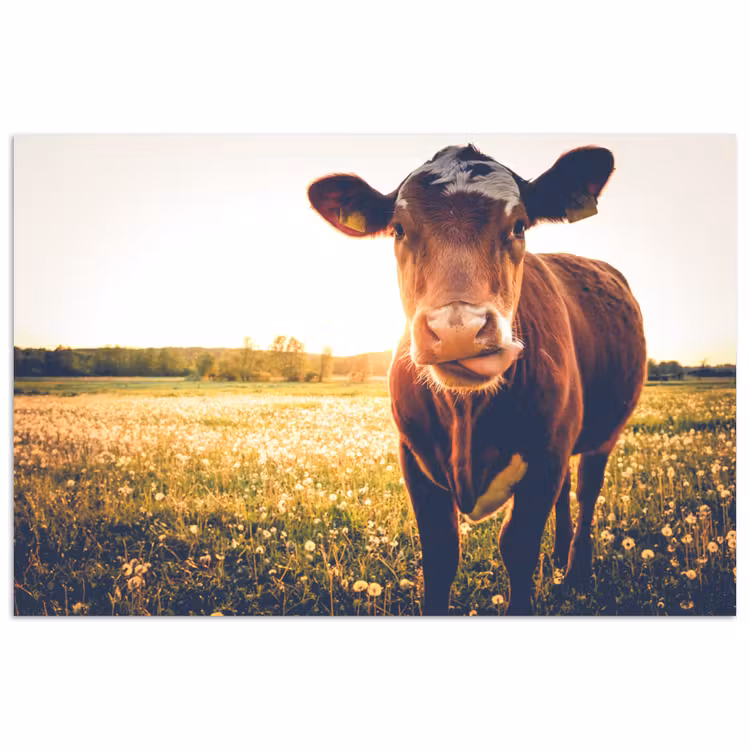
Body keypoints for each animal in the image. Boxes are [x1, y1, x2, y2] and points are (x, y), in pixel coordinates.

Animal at [308, 144, 647, 615]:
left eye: (519, 225)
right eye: (398, 229)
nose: (458, 329)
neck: (467, 415)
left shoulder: (546, 456)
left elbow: (518, 547)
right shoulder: (413, 457)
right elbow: (440, 554)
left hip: (603, 434)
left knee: (586, 491)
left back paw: (576, 570)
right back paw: (559, 557)